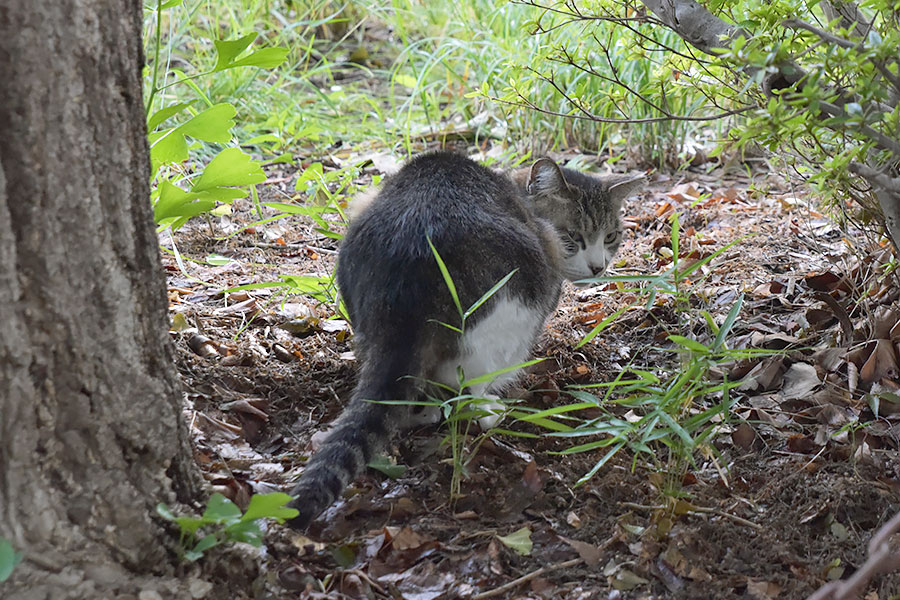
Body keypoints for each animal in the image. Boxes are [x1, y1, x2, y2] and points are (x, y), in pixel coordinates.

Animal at [284, 151, 644, 528]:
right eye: (574, 236)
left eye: (611, 236)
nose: (598, 267)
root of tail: (407, 278)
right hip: (513, 312)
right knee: (466, 388)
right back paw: (491, 408)